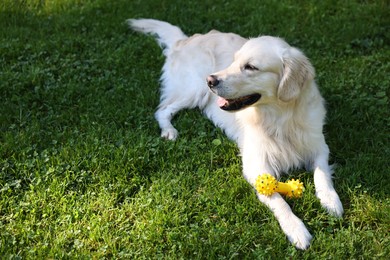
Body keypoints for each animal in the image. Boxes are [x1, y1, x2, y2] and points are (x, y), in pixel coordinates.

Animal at [127, 18, 342, 250]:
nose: (210, 80)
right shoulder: (256, 165)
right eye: (234, 61)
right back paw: (169, 131)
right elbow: (278, 200)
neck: (279, 119)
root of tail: (185, 39)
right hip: (193, 90)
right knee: (162, 110)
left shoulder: (318, 146)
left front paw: (331, 200)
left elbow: (321, 174)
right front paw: (296, 229)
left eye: (251, 67)